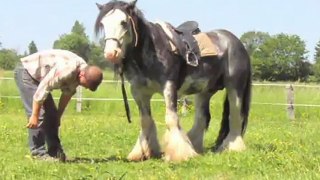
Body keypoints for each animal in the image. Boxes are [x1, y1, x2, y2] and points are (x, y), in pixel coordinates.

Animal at [94, 0, 251, 162]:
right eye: (103, 23)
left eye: (123, 22)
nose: (111, 53)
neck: (153, 50)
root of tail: (236, 42)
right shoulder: (139, 92)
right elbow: (146, 121)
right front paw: (144, 153)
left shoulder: (169, 87)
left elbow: (171, 118)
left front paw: (180, 154)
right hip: (204, 91)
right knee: (202, 118)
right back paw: (194, 146)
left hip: (235, 87)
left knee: (235, 117)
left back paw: (232, 148)